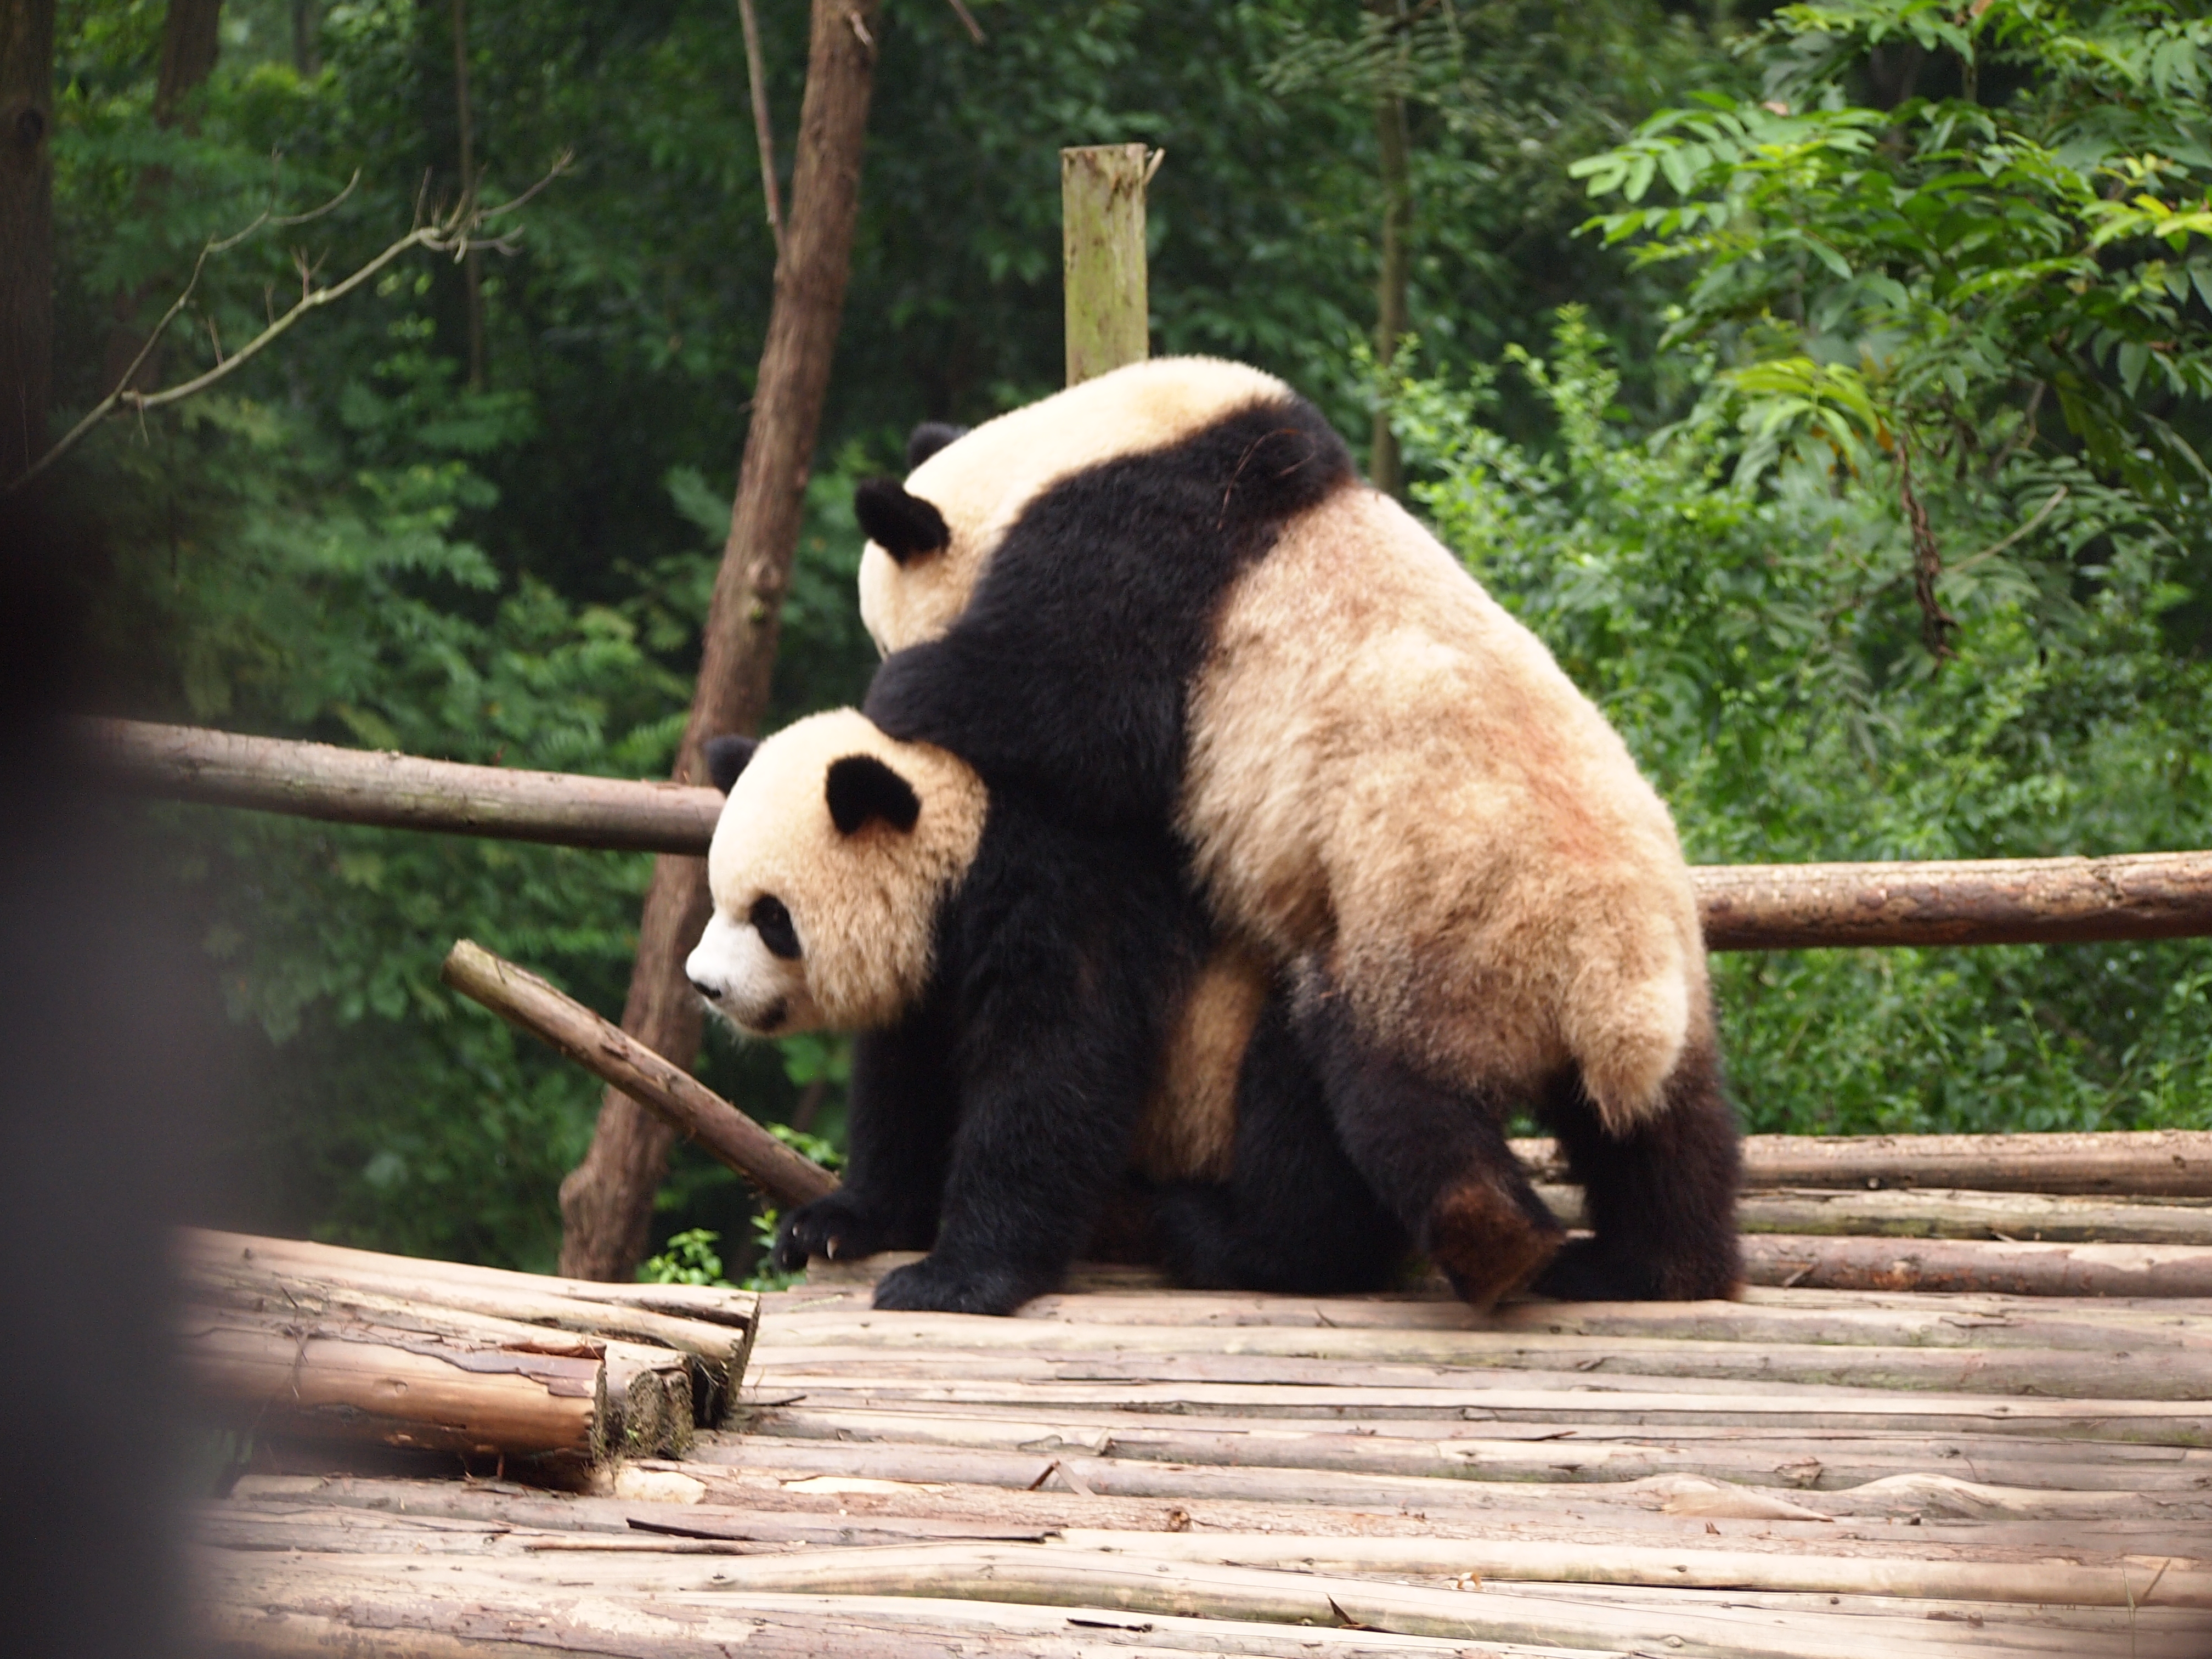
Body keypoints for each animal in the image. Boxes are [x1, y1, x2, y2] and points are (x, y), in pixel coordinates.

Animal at [681, 708, 1398, 1318]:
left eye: (772, 917)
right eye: (720, 897)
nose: (705, 984)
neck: (969, 823)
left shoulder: (1068, 891)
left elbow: (1053, 1068)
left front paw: (952, 1279)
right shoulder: (936, 973)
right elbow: (906, 1083)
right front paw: (834, 1224)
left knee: (1299, 1100)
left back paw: (1236, 1241)